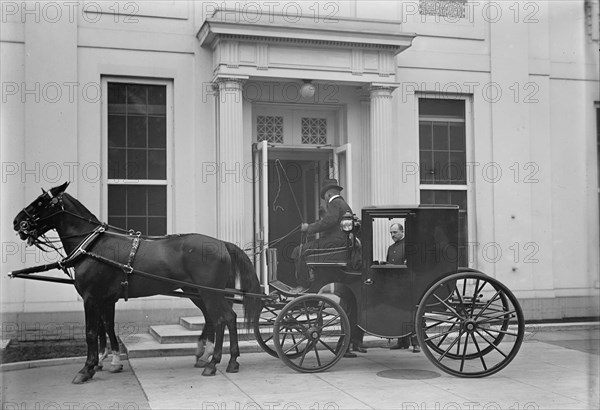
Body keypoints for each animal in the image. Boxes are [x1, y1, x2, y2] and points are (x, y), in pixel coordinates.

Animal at [12, 183, 262, 384]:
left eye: (41, 201)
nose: (17, 222)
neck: (92, 245)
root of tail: (221, 242)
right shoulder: (105, 299)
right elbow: (106, 327)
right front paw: (109, 361)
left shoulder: (91, 297)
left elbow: (91, 331)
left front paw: (87, 368)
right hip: (199, 292)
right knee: (222, 318)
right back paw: (224, 359)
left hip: (210, 292)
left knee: (222, 319)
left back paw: (214, 361)